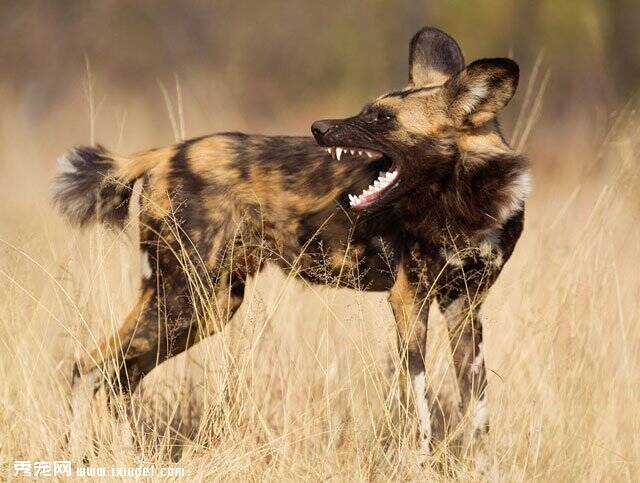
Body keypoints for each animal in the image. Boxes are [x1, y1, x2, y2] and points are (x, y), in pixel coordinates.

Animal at [52, 27, 528, 458]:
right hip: (184, 300)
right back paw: (78, 458)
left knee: (118, 377)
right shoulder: (409, 299)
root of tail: (165, 152)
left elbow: (477, 412)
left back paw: (126, 456)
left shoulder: (464, 307)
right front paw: (418, 463)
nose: (319, 127)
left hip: (207, 307)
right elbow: (420, 407)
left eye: (383, 119)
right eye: (369, 110)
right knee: (87, 368)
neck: (465, 201)